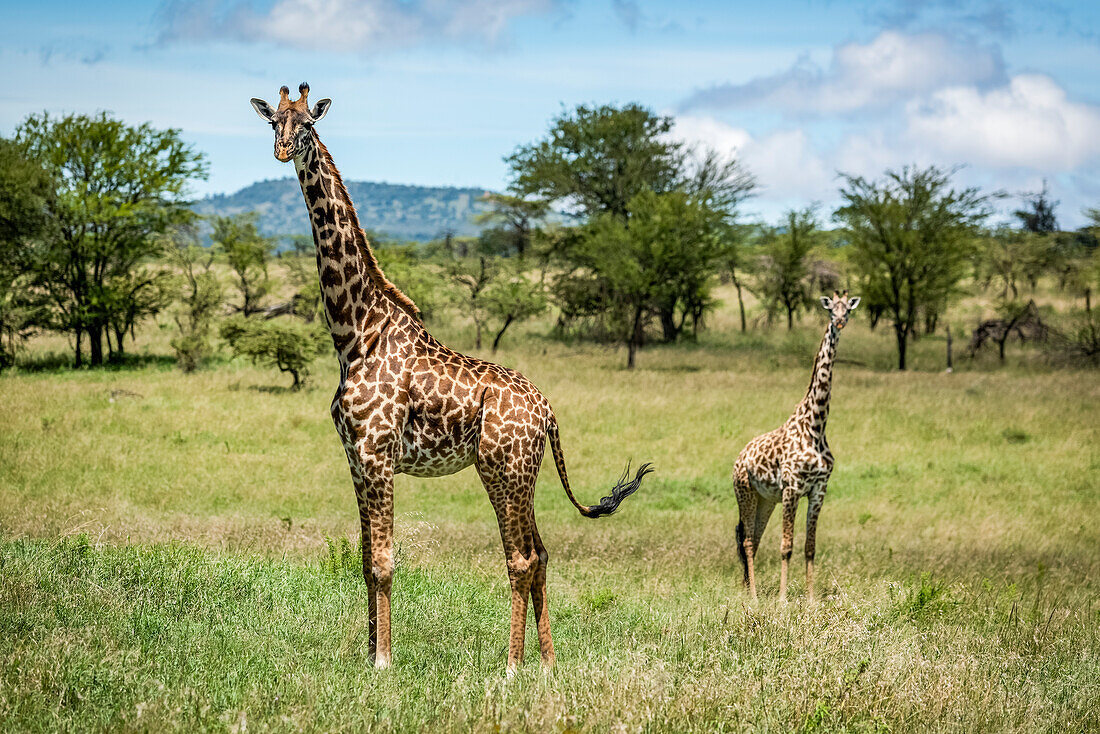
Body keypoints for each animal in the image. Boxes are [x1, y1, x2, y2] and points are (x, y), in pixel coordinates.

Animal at [249, 84, 646, 673]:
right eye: (274, 121)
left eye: (307, 126)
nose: (281, 151)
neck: (354, 332)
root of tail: (549, 413)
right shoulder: (354, 457)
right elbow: (364, 559)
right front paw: (368, 653)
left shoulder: (376, 453)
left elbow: (385, 560)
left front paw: (384, 661)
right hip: (521, 474)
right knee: (541, 552)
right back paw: (547, 663)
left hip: (502, 470)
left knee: (519, 557)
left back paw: (512, 667)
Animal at [734, 292, 853, 603]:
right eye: (830, 309)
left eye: (848, 309)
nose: (840, 322)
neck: (816, 425)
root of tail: (740, 457)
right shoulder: (792, 488)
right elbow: (786, 546)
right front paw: (783, 599)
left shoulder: (818, 489)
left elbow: (809, 547)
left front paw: (810, 599)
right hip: (745, 492)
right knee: (747, 541)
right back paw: (753, 596)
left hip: (765, 500)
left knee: (754, 538)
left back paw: (747, 589)